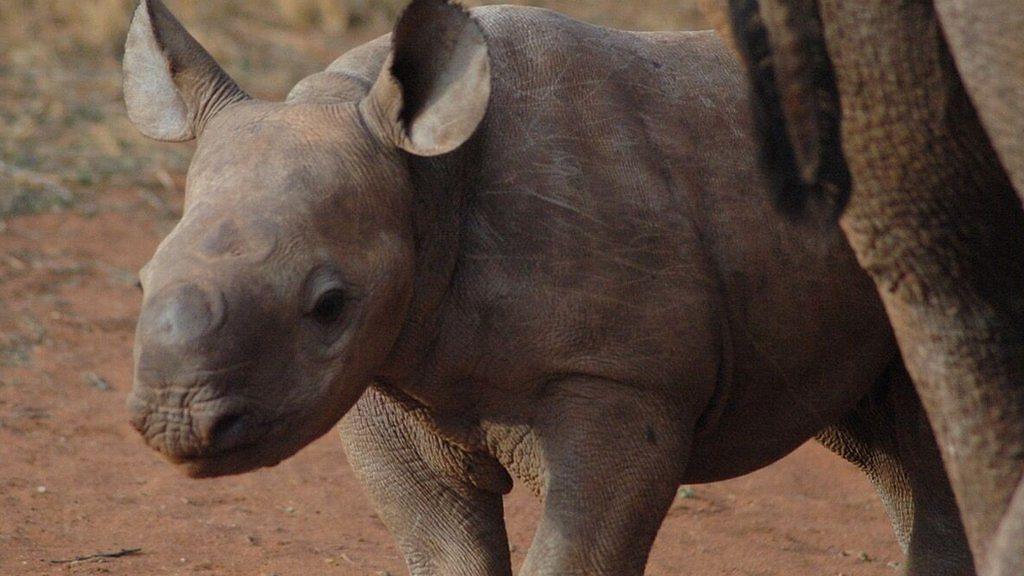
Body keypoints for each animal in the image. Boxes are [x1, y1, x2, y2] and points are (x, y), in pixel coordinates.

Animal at [123, 0, 970, 569]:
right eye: (140, 281)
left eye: (330, 306)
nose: (176, 422)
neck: (426, 183)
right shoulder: (383, 380)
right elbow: (445, 551)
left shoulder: (623, 383)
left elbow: (576, 550)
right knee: (896, 450)